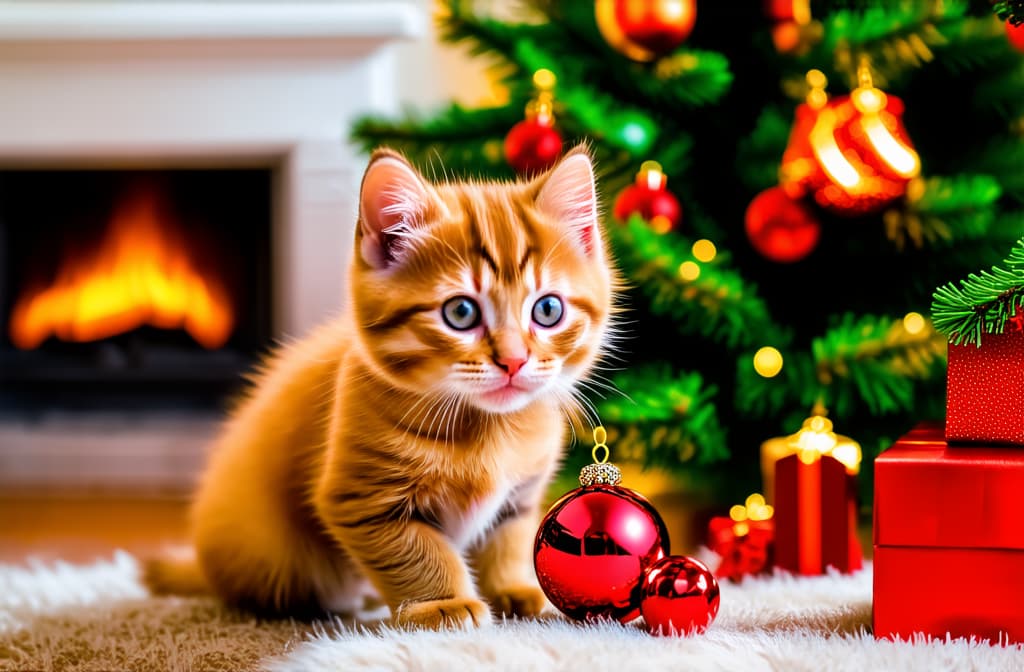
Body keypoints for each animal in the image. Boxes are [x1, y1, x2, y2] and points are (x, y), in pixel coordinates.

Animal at [146, 144, 614, 626]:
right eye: (461, 312)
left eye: (548, 310)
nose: (514, 360)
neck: (489, 428)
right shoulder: (363, 501)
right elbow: (419, 551)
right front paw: (443, 602)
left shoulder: (519, 496)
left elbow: (508, 539)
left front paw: (513, 588)